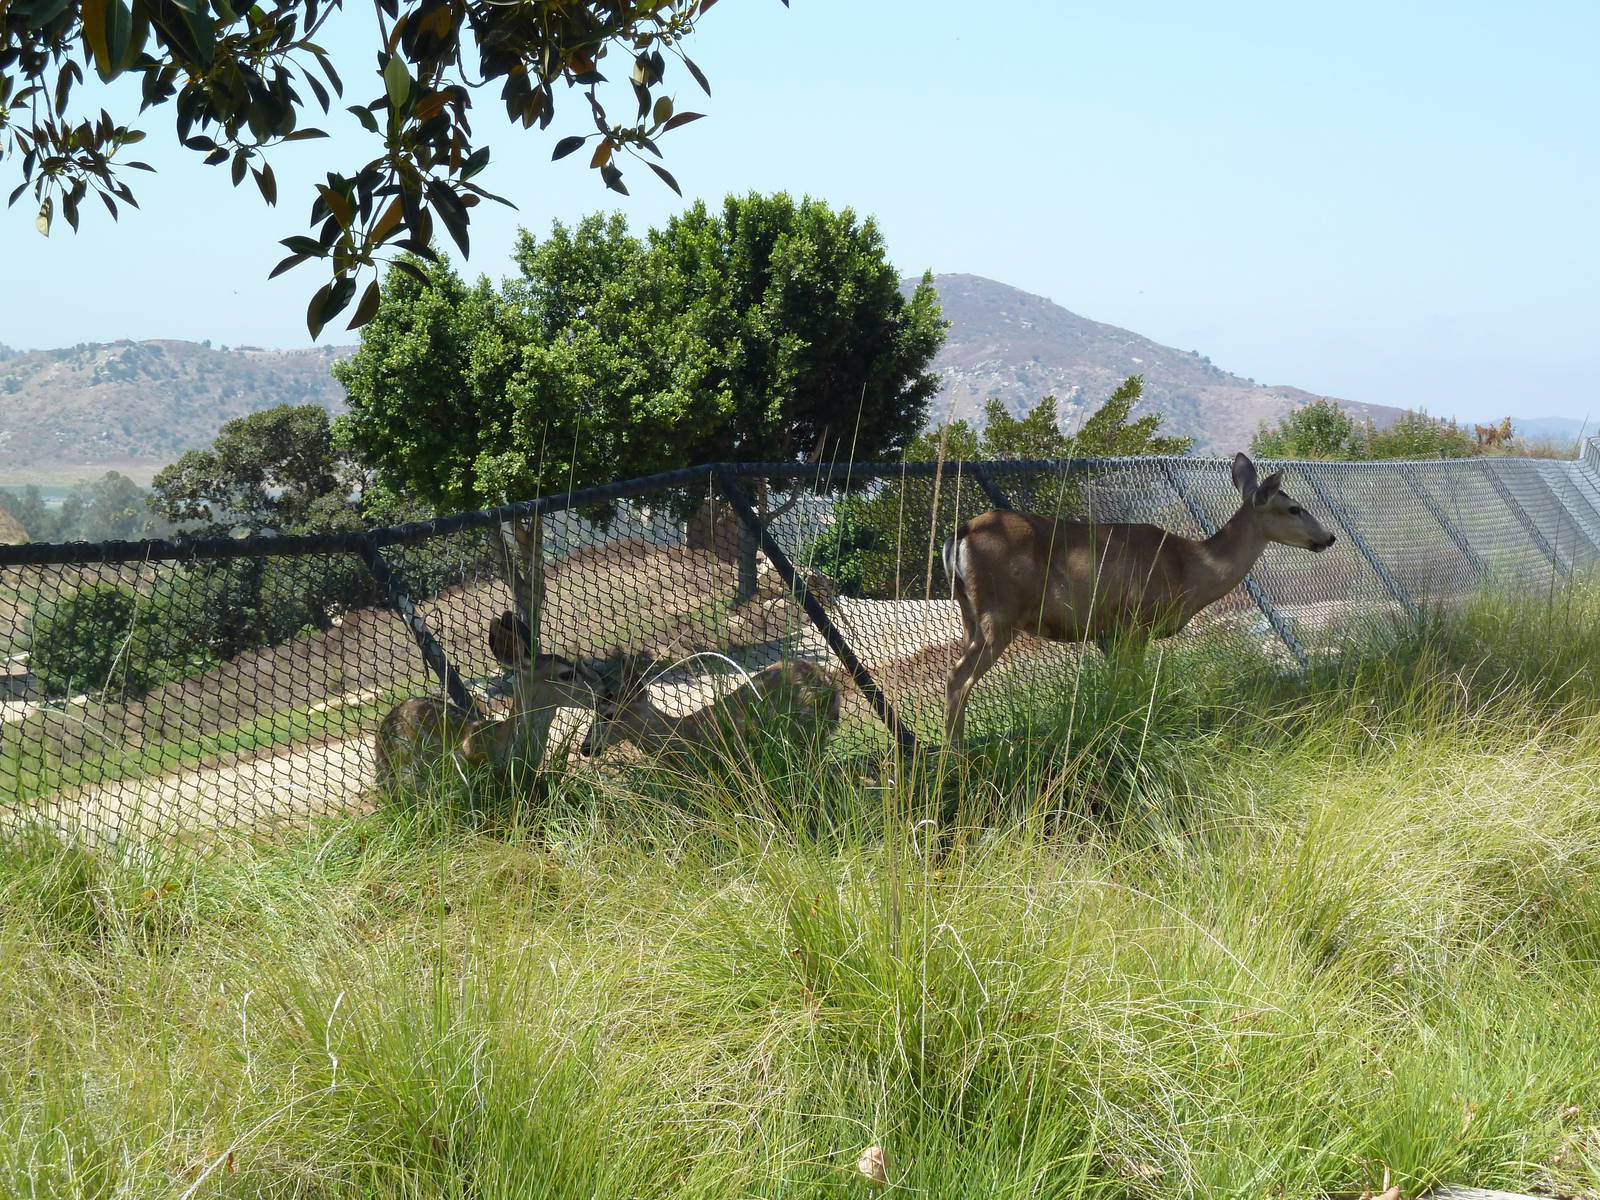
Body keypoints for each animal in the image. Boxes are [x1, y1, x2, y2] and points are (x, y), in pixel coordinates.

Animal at [942, 452, 1337, 742]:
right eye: (1294, 508)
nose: (1329, 536)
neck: (1191, 568)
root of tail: (961, 533)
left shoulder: (1113, 630)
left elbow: (1119, 684)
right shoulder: (1136, 621)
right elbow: (1134, 683)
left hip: (969, 613)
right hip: (999, 613)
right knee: (958, 679)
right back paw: (954, 754)